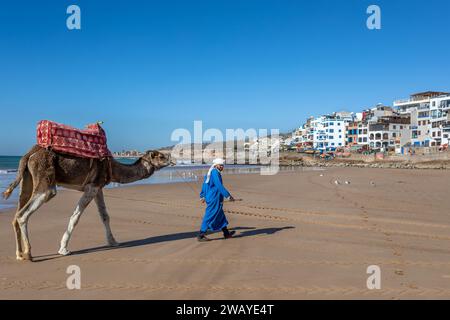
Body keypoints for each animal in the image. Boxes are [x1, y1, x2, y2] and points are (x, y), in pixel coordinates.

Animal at [2, 145, 174, 260]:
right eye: (160, 156)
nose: (173, 160)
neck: (112, 168)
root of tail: (29, 154)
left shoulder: (98, 188)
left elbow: (105, 215)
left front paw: (113, 242)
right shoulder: (92, 187)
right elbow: (75, 217)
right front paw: (63, 249)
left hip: (27, 178)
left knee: (16, 213)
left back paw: (19, 254)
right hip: (44, 179)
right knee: (23, 213)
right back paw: (29, 254)